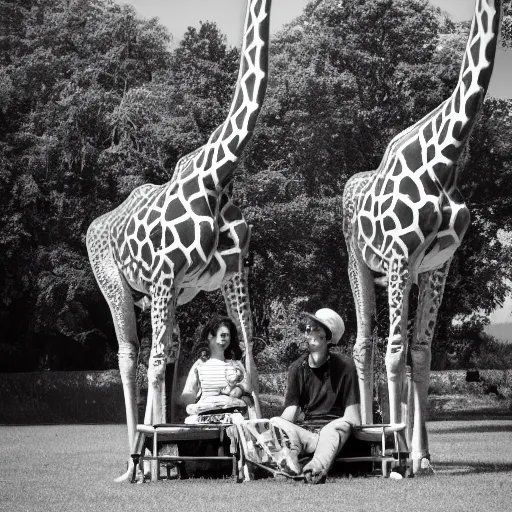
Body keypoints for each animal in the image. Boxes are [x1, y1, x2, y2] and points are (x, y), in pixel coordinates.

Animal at [87, 0, 272, 480]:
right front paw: (146, 461)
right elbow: (150, 365)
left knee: (167, 348)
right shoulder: (165, 270)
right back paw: (132, 465)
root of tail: (97, 224)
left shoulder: (232, 272)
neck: (216, 176)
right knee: (130, 355)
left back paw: (163, 453)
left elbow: (249, 356)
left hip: (170, 292)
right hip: (115, 278)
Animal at [342, 0, 502, 474]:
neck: (445, 157)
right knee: (364, 344)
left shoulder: (437, 264)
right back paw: (373, 438)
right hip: (358, 262)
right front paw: (398, 453)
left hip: (406, 273)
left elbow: (422, 354)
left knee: (391, 347)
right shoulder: (398, 254)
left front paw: (421, 456)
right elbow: (395, 351)